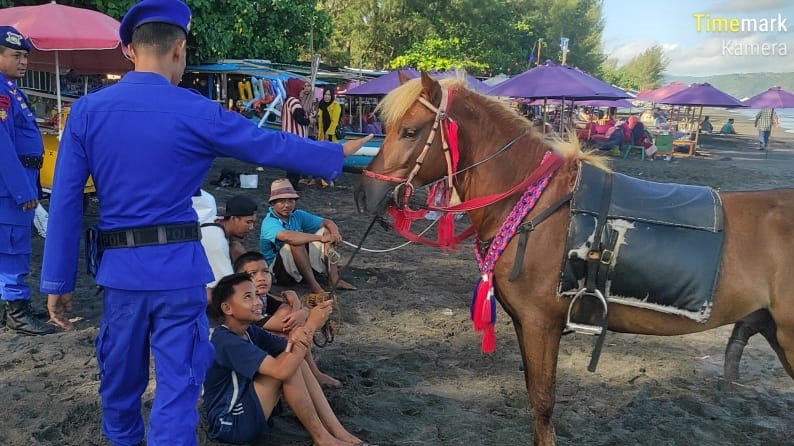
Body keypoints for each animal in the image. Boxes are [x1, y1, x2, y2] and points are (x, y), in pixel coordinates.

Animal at [354, 71, 792, 444]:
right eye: (386, 128)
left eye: (410, 131)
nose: (364, 194)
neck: (533, 203)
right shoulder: (527, 325)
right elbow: (535, 398)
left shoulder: (540, 324)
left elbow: (542, 403)